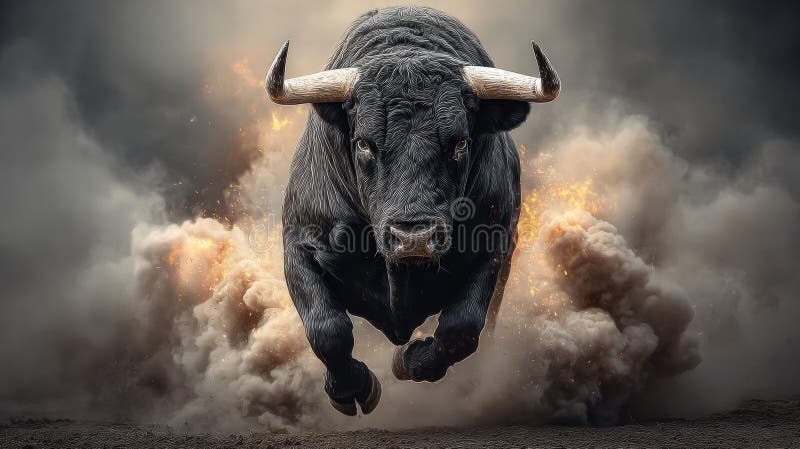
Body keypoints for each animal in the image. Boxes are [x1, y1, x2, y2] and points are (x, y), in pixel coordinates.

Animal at [266, 6, 559, 416]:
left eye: (460, 143)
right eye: (363, 143)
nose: (413, 238)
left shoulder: (496, 246)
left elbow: (462, 328)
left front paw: (408, 361)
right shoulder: (298, 243)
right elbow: (328, 331)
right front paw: (353, 390)